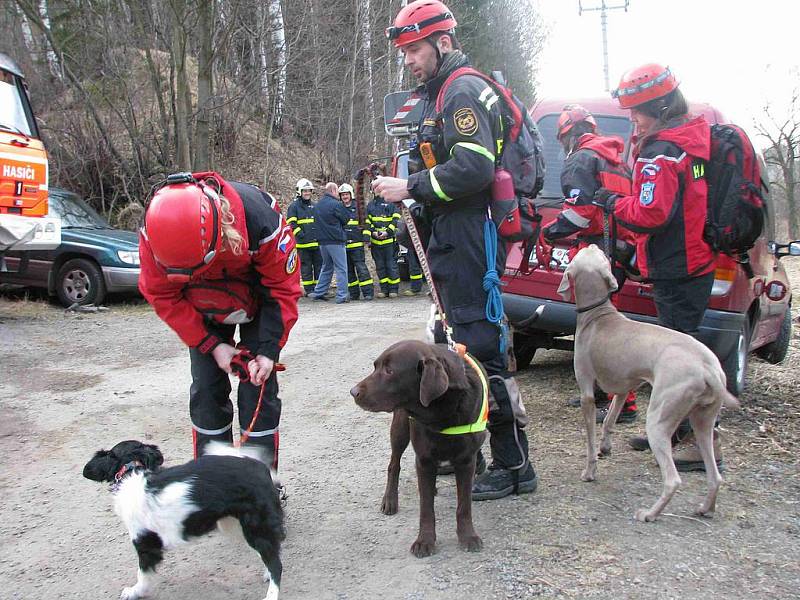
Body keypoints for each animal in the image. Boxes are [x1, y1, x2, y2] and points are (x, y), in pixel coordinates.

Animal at [83, 440, 284, 600]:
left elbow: (143, 574)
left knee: (276, 565)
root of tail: (262, 469)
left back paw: (270, 594)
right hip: (236, 524)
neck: (131, 471)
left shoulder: (145, 544)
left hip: (255, 526)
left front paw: (134, 592)